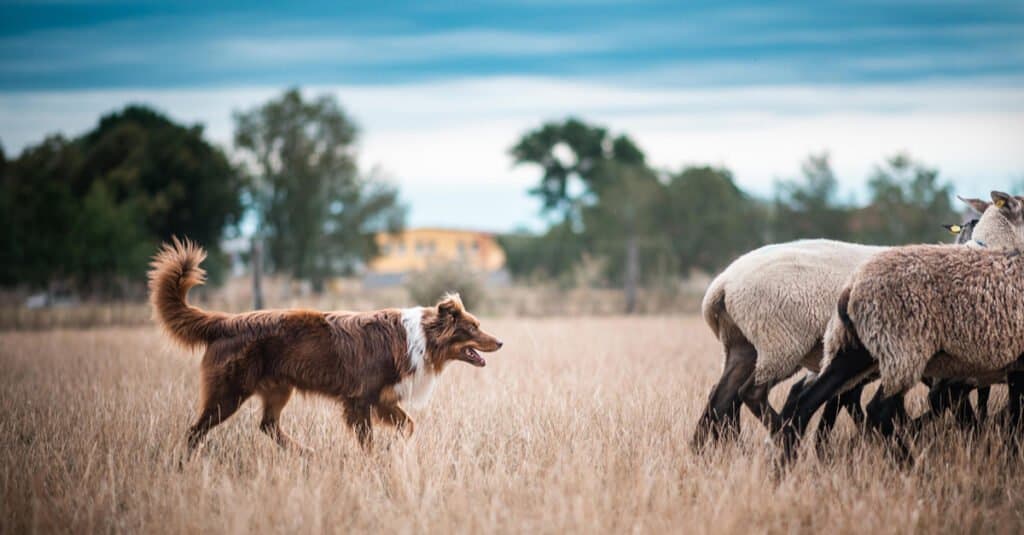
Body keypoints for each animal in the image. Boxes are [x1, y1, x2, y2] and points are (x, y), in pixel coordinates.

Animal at [149, 237, 503, 453]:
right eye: (473, 327)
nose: (500, 342)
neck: (422, 338)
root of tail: (224, 321)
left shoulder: (383, 400)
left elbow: (409, 426)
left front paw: (397, 449)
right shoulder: (360, 401)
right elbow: (369, 440)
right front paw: (375, 462)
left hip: (278, 388)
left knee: (267, 426)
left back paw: (304, 453)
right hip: (228, 392)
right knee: (196, 430)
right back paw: (185, 463)